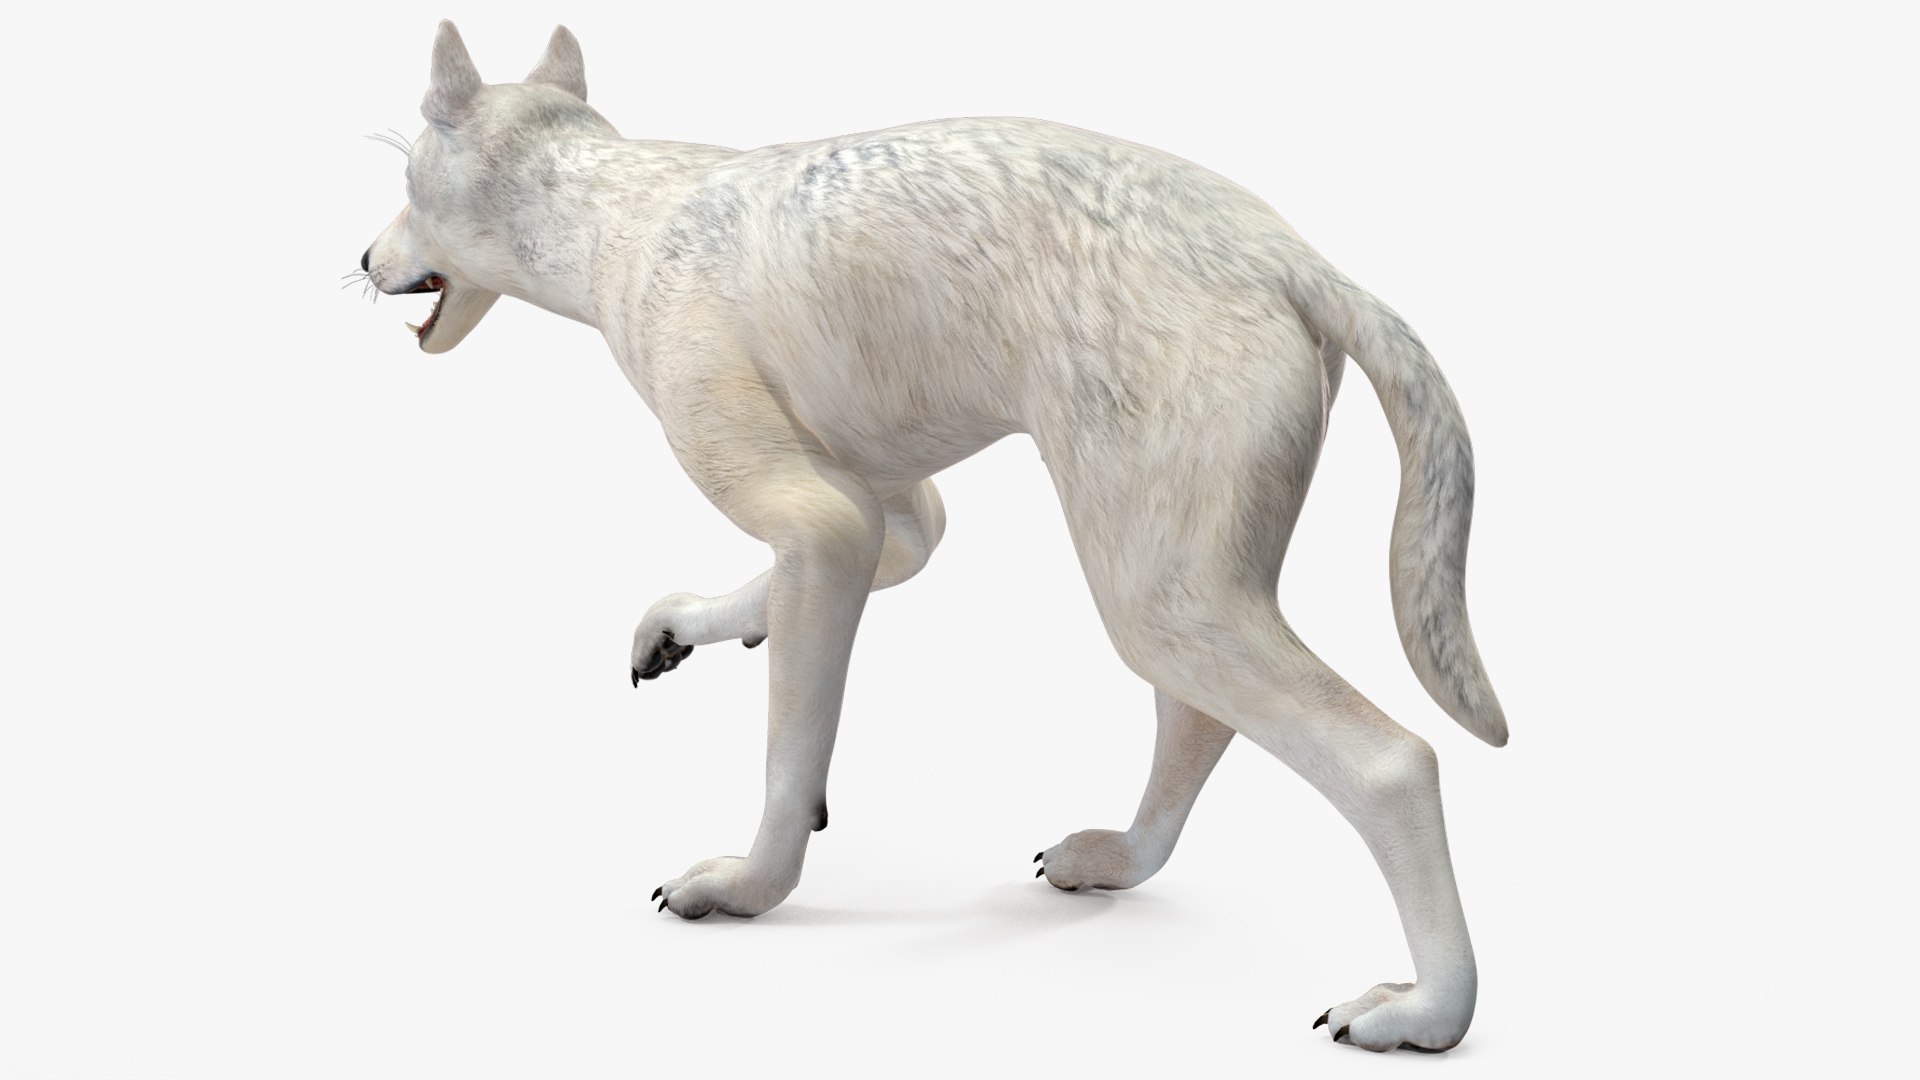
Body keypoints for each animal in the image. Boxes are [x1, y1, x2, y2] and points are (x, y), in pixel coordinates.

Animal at [361, 21, 1509, 1052]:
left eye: (408, 175)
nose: (364, 258)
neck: (615, 209)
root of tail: (1297, 259)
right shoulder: (886, 499)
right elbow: (873, 561)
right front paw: (689, 628)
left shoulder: (813, 509)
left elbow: (791, 734)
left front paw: (749, 882)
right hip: (1174, 565)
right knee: (1198, 720)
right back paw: (1119, 858)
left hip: (1160, 594)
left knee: (1389, 760)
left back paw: (1428, 1011)